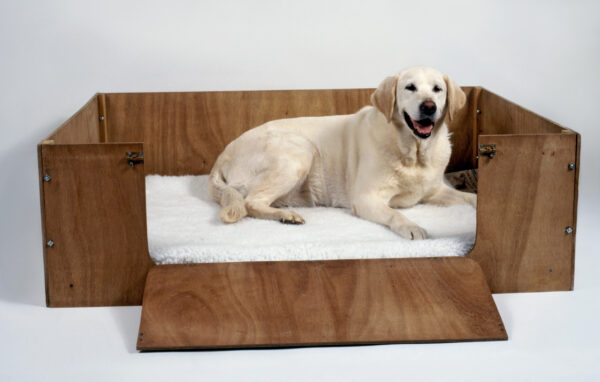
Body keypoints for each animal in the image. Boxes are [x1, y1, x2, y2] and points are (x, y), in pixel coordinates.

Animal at [209, 65, 476, 239]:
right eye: (410, 88)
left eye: (437, 89)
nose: (428, 107)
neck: (413, 154)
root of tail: (221, 156)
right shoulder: (367, 198)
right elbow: (394, 214)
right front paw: (412, 226)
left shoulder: (435, 191)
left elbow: (471, 198)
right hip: (300, 151)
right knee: (250, 202)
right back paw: (287, 215)